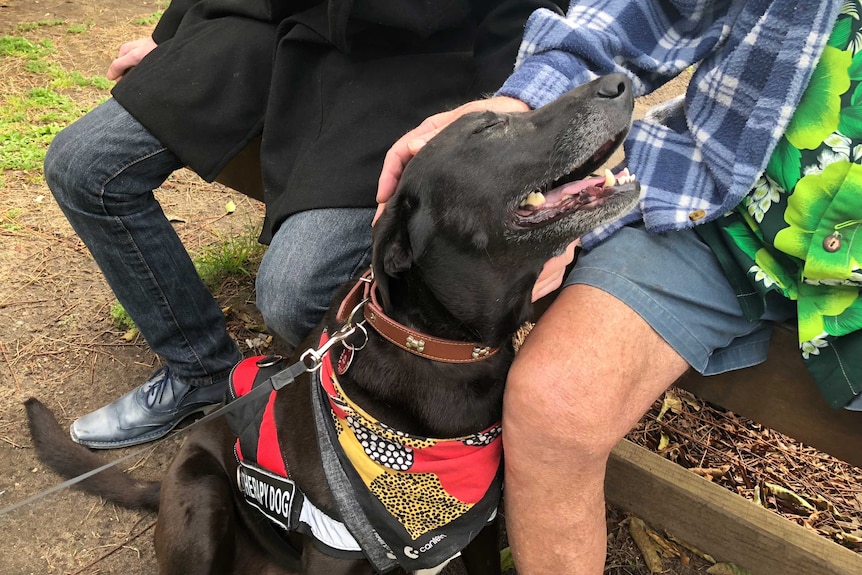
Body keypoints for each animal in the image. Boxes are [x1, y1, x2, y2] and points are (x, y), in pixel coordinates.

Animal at [25, 73, 640, 575]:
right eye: (488, 127)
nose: (620, 80)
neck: (441, 351)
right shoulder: (332, 545)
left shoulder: (482, 532)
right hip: (203, 502)